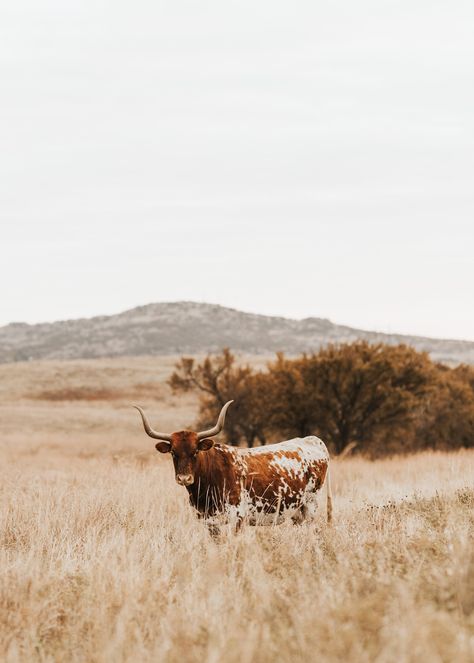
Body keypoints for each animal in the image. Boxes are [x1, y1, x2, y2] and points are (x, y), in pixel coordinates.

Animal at [135, 402, 332, 528]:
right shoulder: (209, 522)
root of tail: (312, 440)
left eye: (195, 452)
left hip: (311, 506)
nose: (184, 478)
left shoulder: (237, 518)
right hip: (297, 512)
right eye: (173, 453)